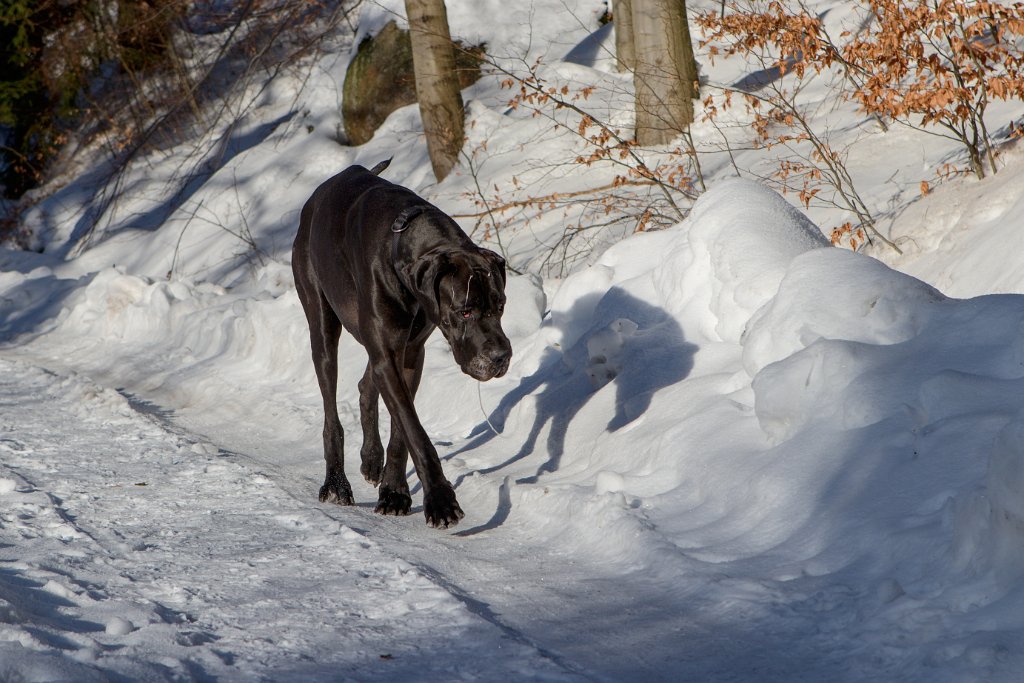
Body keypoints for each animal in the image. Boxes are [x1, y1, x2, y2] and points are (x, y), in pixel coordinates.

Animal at [290, 161, 509, 528]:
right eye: (465, 311)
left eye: (501, 305)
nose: (501, 357)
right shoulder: (389, 354)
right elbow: (414, 430)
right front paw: (440, 501)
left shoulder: (410, 355)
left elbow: (400, 433)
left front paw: (393, 493)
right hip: (321, 323)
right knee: (331, 409)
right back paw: (336, 484)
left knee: (366, 385)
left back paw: (370, 459)